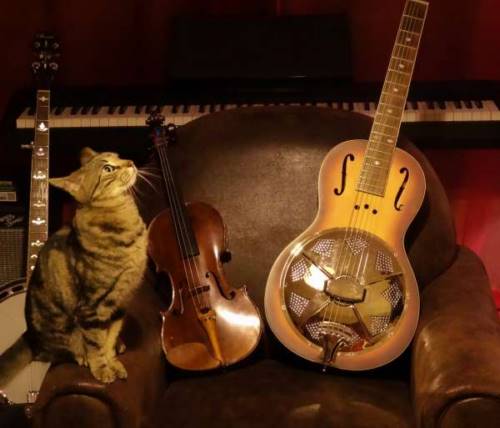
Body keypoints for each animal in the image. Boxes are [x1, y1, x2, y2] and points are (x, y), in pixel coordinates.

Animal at [0, 147, 147, 384]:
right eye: (108, 168)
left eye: (118, 156)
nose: (131, 162)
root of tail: (29, 335)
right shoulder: (93, 306)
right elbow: (96, 343)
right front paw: (102, 368)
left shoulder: (120, 302)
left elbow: (110, 337)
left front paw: (113, 361)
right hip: (62, 331)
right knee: (62, 351)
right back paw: (82, 356)